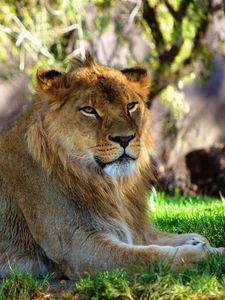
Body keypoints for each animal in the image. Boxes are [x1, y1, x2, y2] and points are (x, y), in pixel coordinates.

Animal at [0, 53, 223, 278]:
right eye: (89, 110)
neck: (110, 186)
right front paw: (208, 254)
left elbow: (185, 236)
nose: (124, 138)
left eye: (131, 106)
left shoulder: (135, 228)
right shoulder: (77, 246)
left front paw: (197, 241)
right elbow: (148, 256)